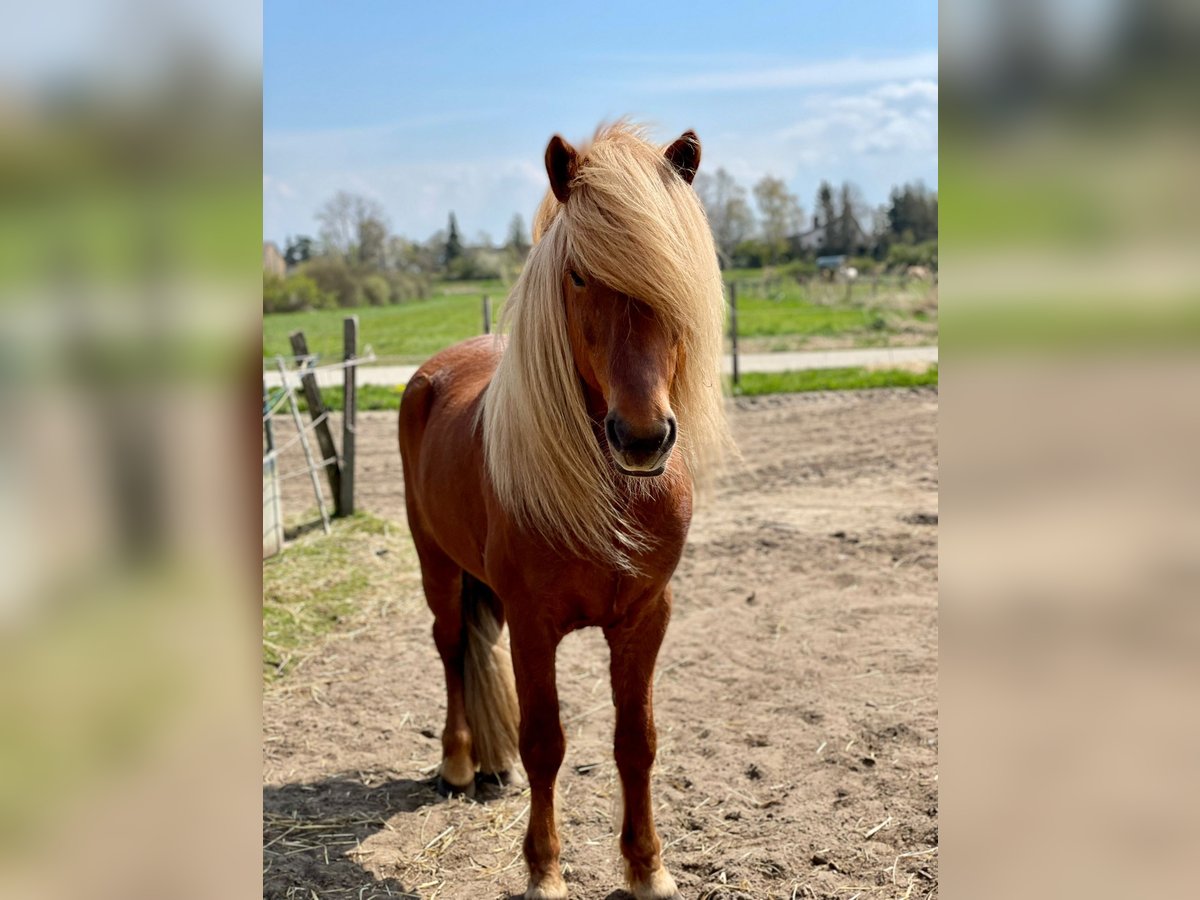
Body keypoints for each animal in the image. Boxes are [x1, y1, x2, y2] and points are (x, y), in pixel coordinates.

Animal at [398, 121, 724, 900]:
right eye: (577, 275)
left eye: (674, 269)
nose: (642, 437)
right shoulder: (532, 624)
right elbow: (545, 742)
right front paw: (543, 871)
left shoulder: (645, 618)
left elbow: (637, 741)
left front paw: (648, 868)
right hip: (437, 568)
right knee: (450, 649)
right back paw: (459, 764)